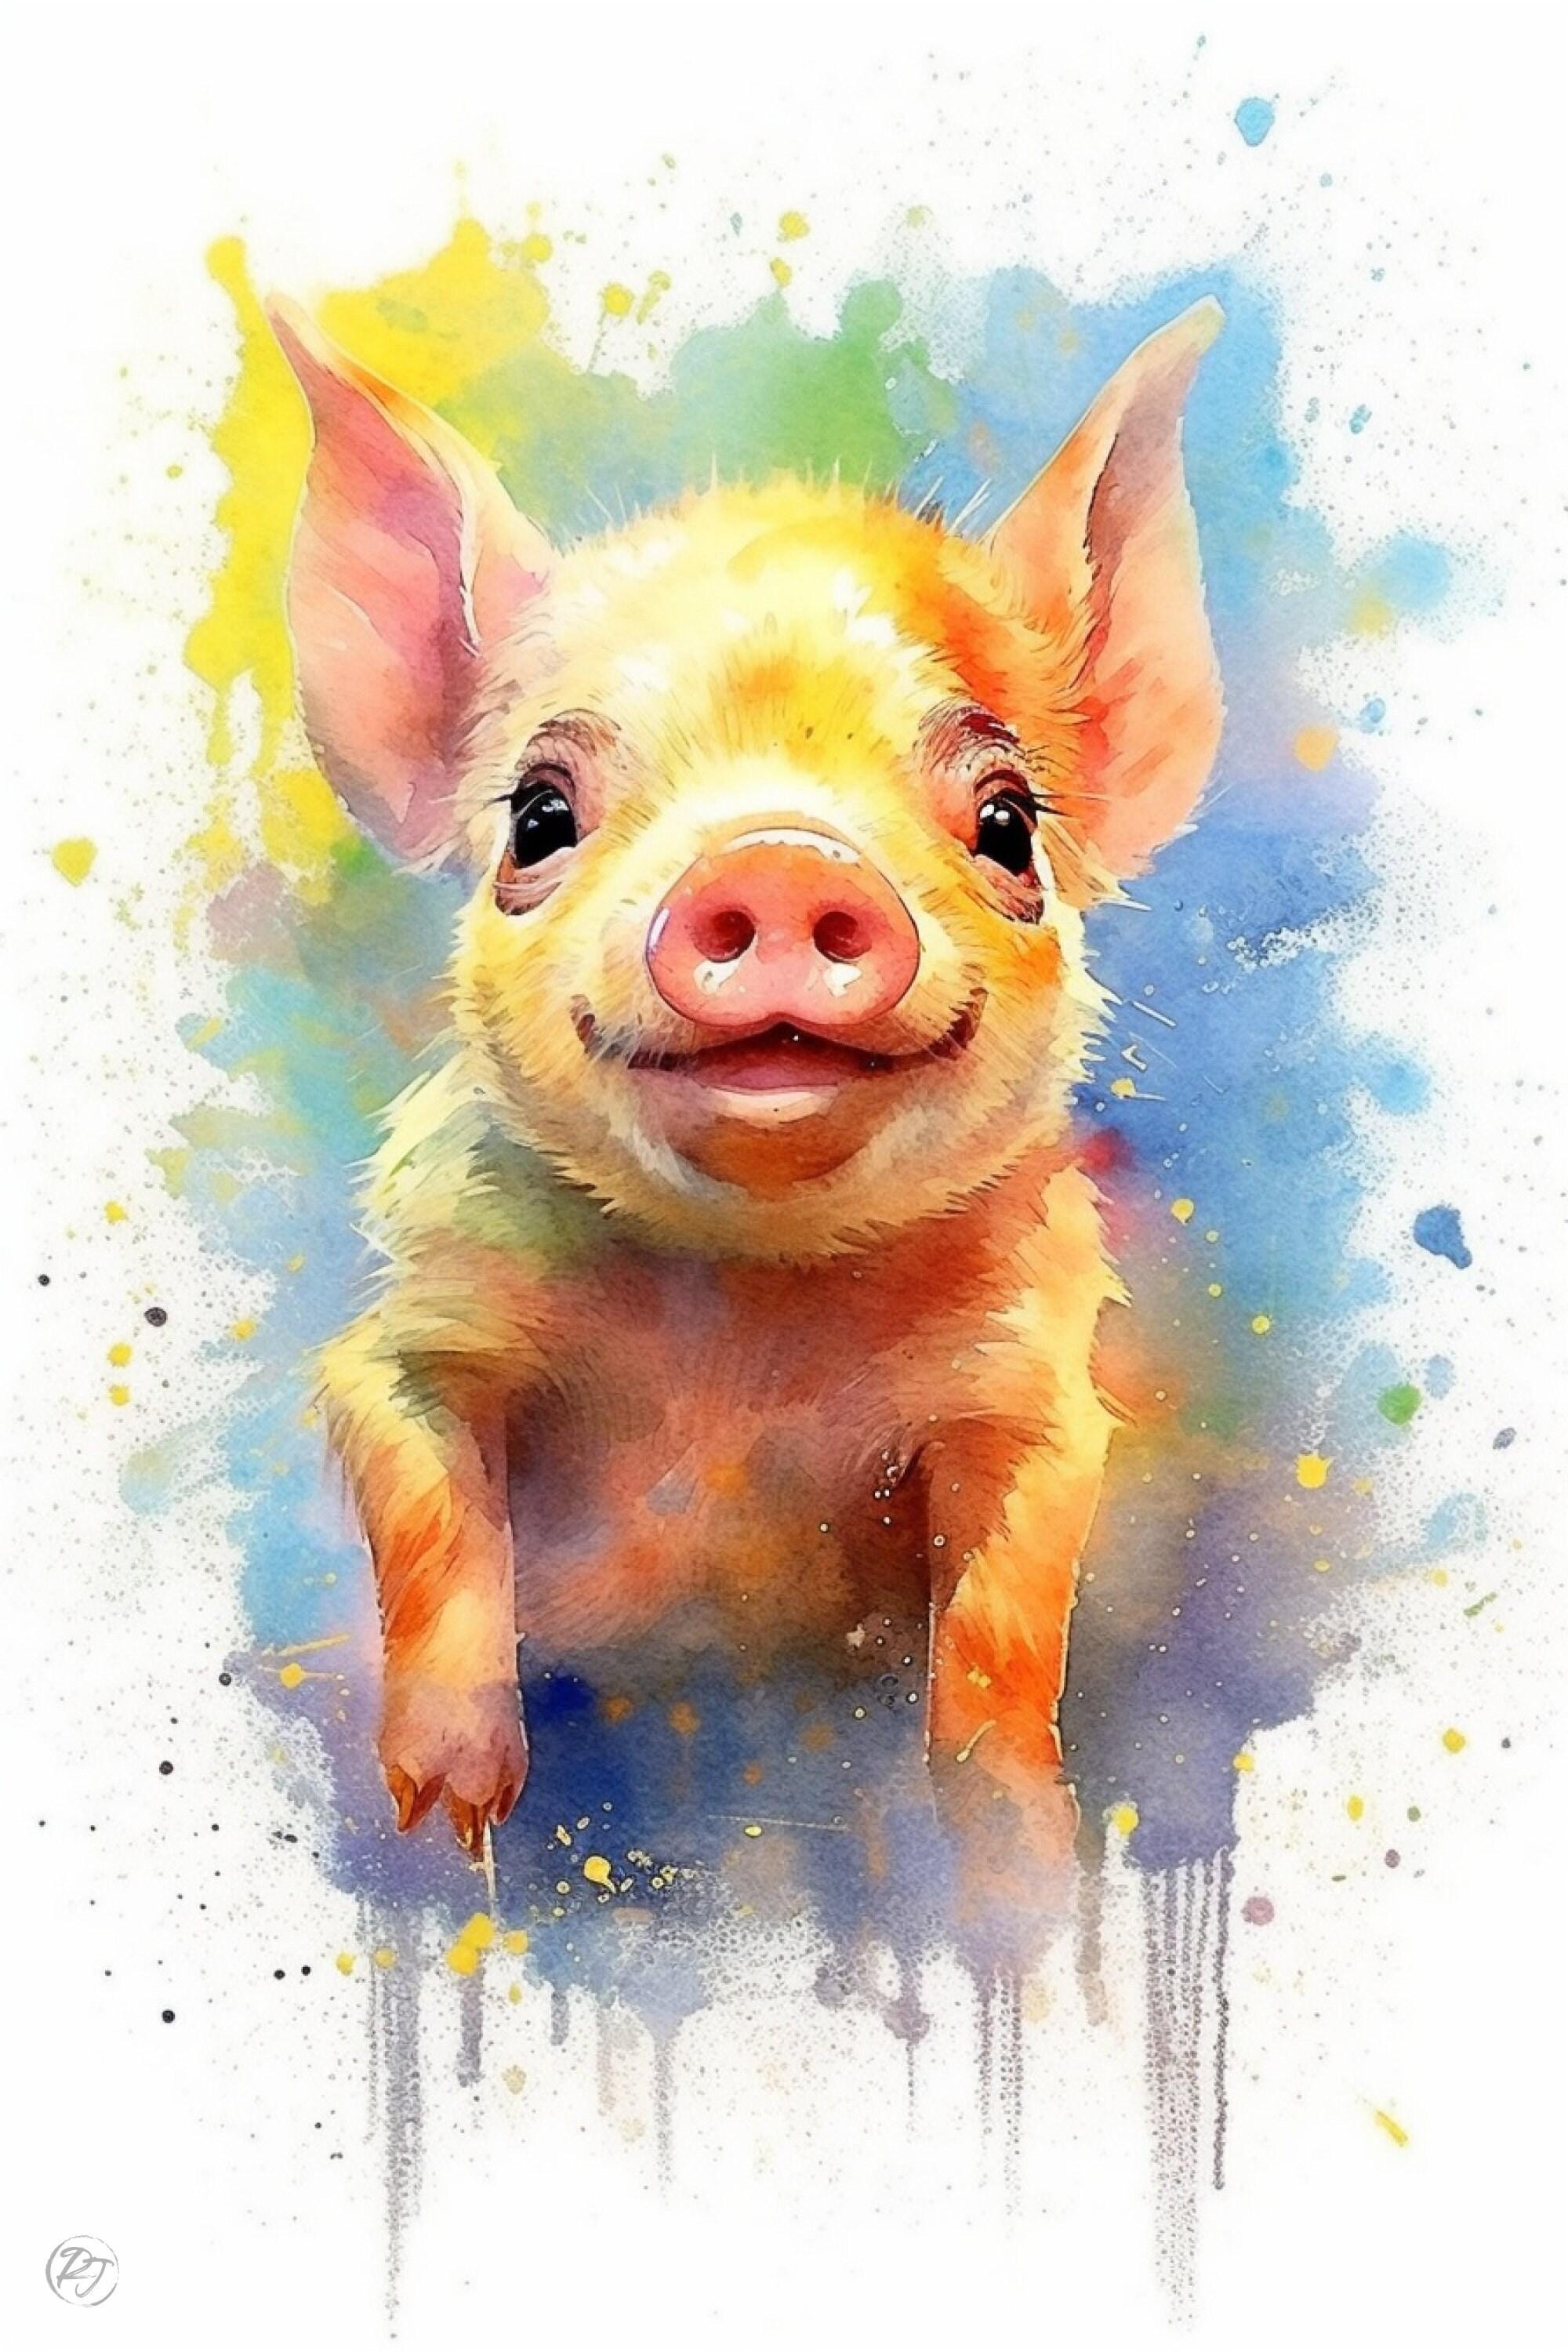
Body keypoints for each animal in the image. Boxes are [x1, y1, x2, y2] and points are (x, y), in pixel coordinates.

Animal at [269, 292, 1223, 1858]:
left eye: (1009, 826)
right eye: (538, 817)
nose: (780, 860)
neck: (743, 1325)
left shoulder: (1034, 1388)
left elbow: (1005, 1629)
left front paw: (1015, 1860)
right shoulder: (409, 1329)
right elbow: (424, 1495)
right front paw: (453, 1820)